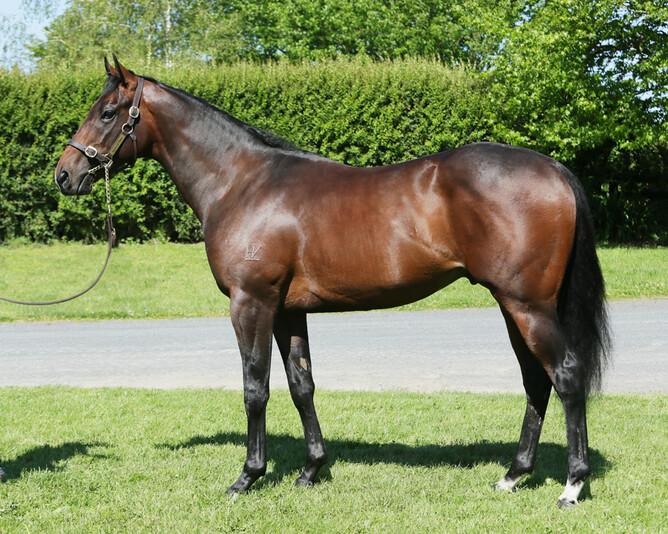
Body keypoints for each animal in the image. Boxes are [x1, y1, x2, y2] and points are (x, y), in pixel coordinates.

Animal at [54, 57, 610, 508]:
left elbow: (255, 387)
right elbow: (302, 386)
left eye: (108, 112)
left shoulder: (251, 303)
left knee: (565, 374)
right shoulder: (287, 311)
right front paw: (310, 470)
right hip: (513, 305)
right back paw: (513, 476)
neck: (241, 183)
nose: (64, 174)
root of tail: (553, 168)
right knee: (536, 380)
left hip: (527, 305)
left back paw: (572, 485)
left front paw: (247, 477)